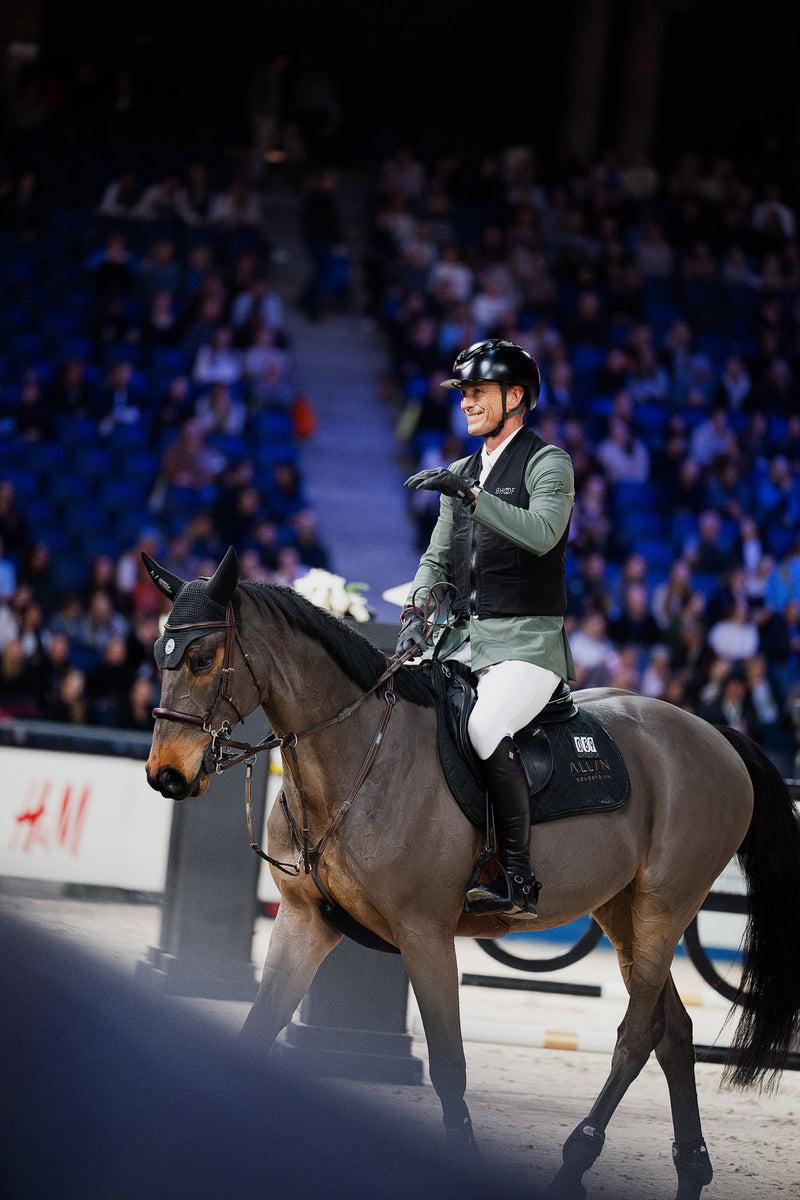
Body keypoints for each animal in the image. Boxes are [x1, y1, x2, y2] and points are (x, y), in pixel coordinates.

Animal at [143, 547, 800, 1200]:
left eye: (202, 659)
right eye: (157, 656)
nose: (166, 774)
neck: (359, 754)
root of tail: (715, 734)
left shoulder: (425, 934)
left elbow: (449, 1067)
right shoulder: (305, 922)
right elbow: (258, 1030)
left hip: (667, 906)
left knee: (638, 1034)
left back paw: (575, 1162)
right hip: (624, 913)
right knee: (674, 1033)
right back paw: (690, 1170)